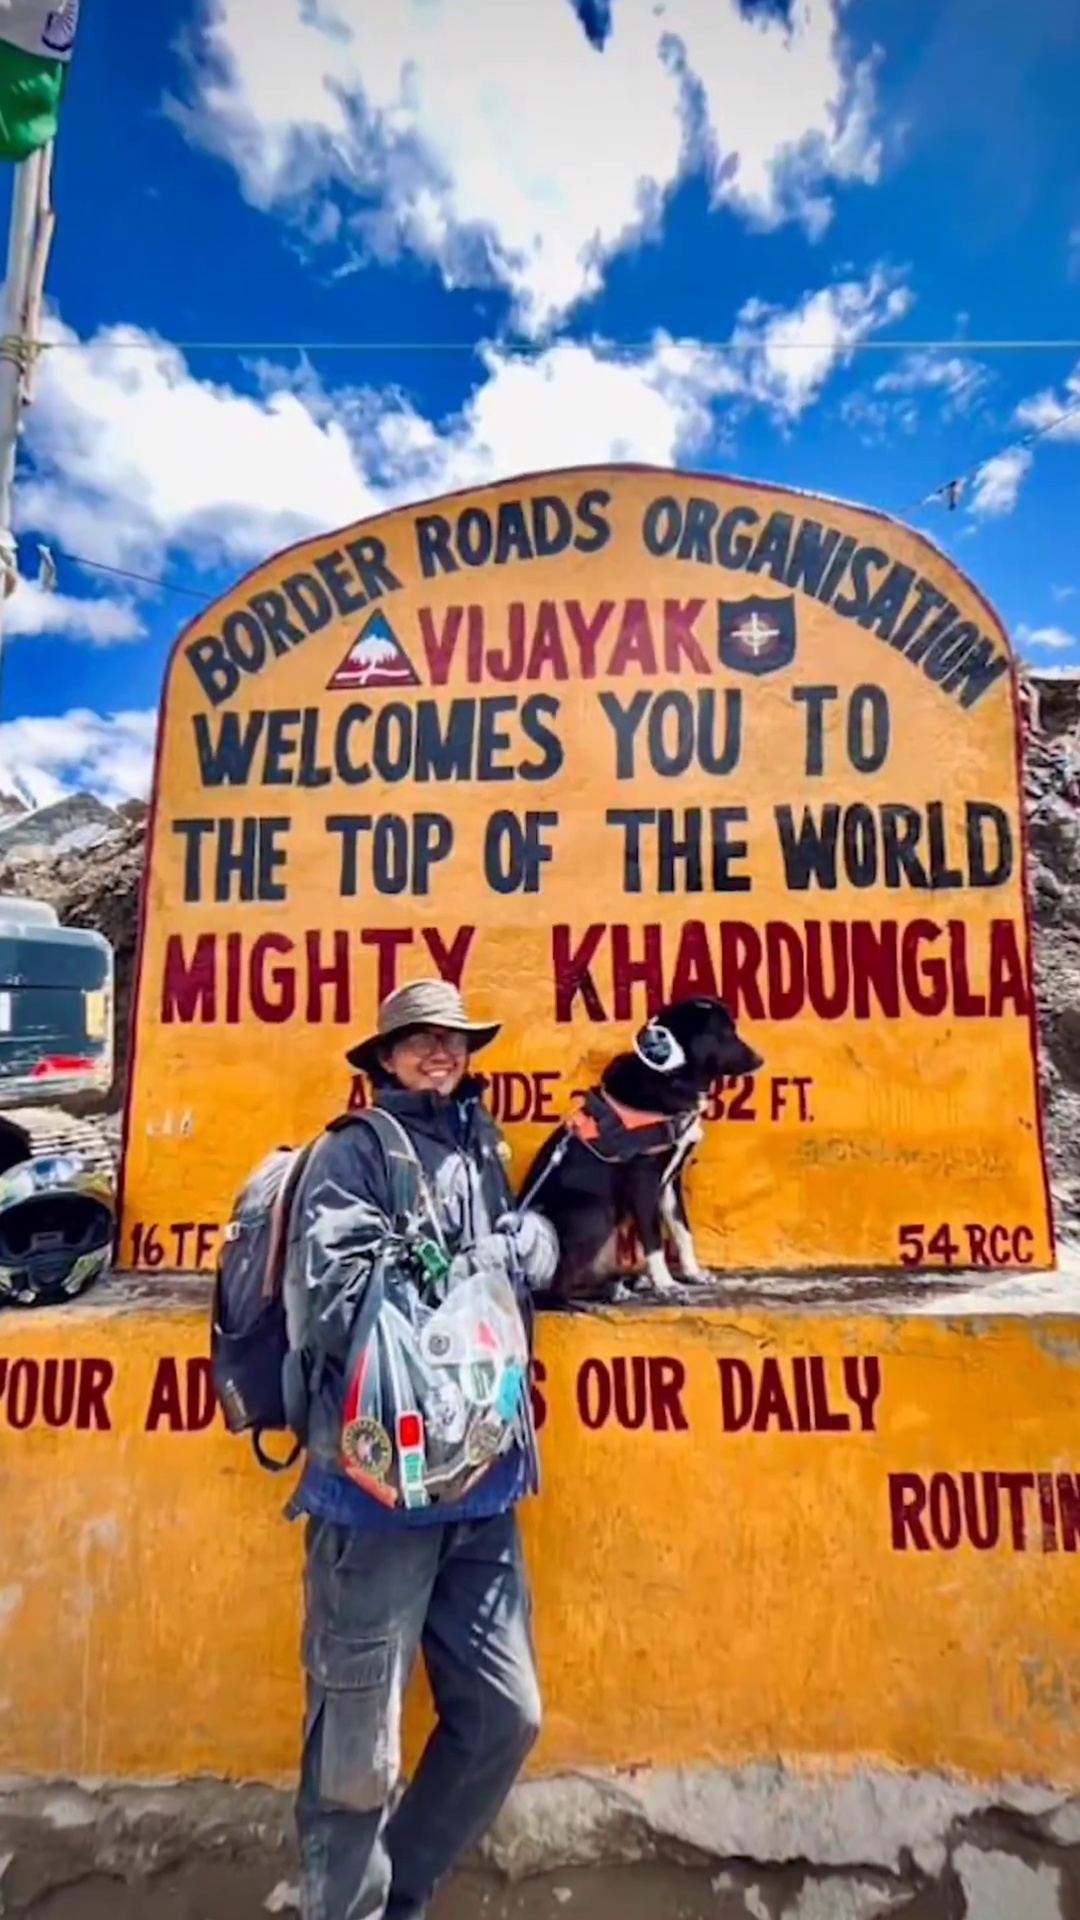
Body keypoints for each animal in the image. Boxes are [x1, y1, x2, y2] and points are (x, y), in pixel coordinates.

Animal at [518, 990, 760, 1305]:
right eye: (726, 1033)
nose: (760, 1059)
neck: (670, 1079)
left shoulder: (669, 1184)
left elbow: (683, 1231)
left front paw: (692, 1273)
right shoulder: (644, 1181)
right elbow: (653, 1240)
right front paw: (666, 1284)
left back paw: (627, 1281)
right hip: (595, 1211)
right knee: (556, 1291)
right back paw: (608, 1292)